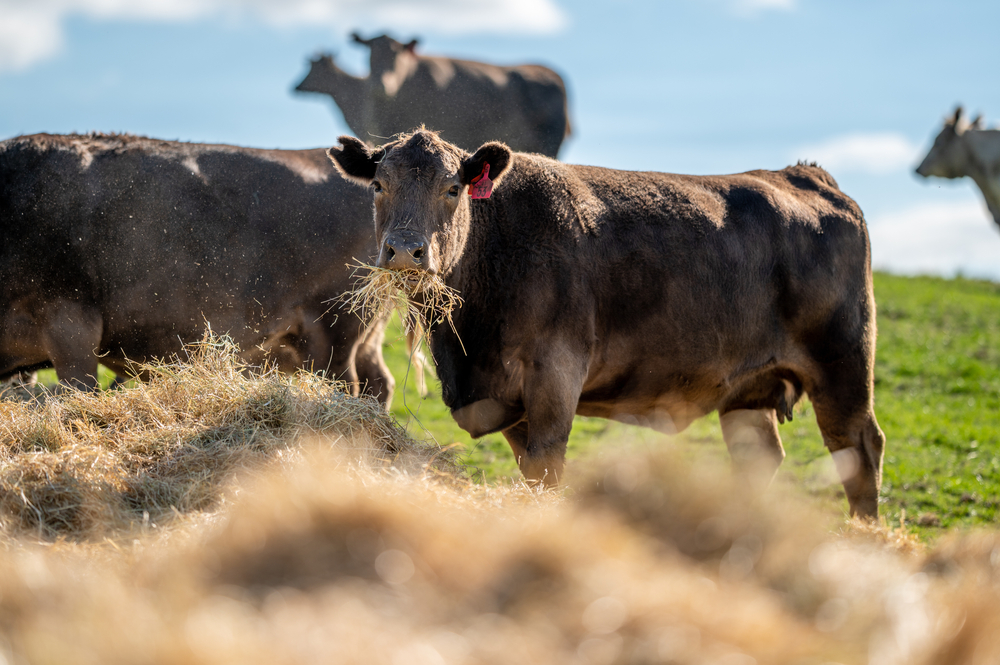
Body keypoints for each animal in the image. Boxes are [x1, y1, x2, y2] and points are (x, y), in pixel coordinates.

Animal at [332, 127, 888, 516]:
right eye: (378, 185)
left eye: (452, 188)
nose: (405, 250)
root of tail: (802, 174)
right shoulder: (505, 398)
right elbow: (528, 470)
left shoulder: (555, 371)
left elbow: (547, 466)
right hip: (749, 391)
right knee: (762, 459)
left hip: (843, 362)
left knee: (858, 448)